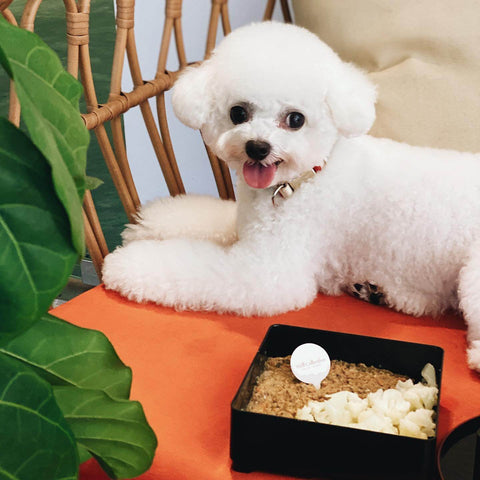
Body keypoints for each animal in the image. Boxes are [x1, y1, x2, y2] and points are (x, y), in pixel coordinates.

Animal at [104, 21, 480, 372]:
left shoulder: (268, 270)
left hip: (471, 275)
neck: (301, 181)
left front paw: (126, 264)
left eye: (295, 119)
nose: (258, 147)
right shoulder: (248, 226)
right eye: (238, 113)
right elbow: (205, 219)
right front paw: (149, 224)